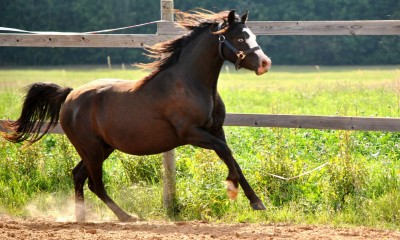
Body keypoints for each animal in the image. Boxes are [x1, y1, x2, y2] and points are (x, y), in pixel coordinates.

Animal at [0, 10, 272, 222]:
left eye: (253, 35)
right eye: (239, 37)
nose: (265, 63)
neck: (190, 84)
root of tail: (69, 95)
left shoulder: (216, 130)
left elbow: (231, 157)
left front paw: (256, 202)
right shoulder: (192, 134)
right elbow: (226, 153)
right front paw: (232, 189)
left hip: (102, 147)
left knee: (78, 176)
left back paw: (82, 217)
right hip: (91, 149)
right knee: (95, 183)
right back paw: (126, 216)